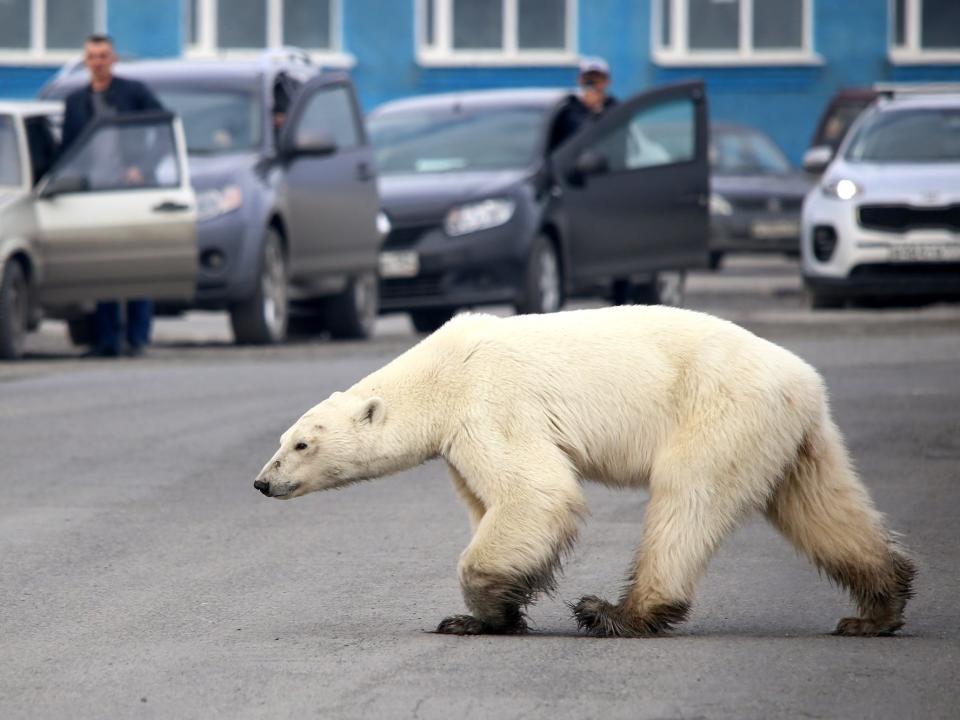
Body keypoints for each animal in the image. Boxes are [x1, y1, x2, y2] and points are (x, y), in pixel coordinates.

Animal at [253, 306, 916, 640]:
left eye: (301, 443)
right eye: (282, 440)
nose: (262, 482)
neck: (439, 372)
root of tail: (804, 381)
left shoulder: (490, 403)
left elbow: (536, 492)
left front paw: (481, 609)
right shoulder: (460, 439)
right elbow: (489, 503)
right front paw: (484, 616)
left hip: (719, 410)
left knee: (686, 497)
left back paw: (617, 612)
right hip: (791, 435)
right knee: (821, 506)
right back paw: (874, 610)